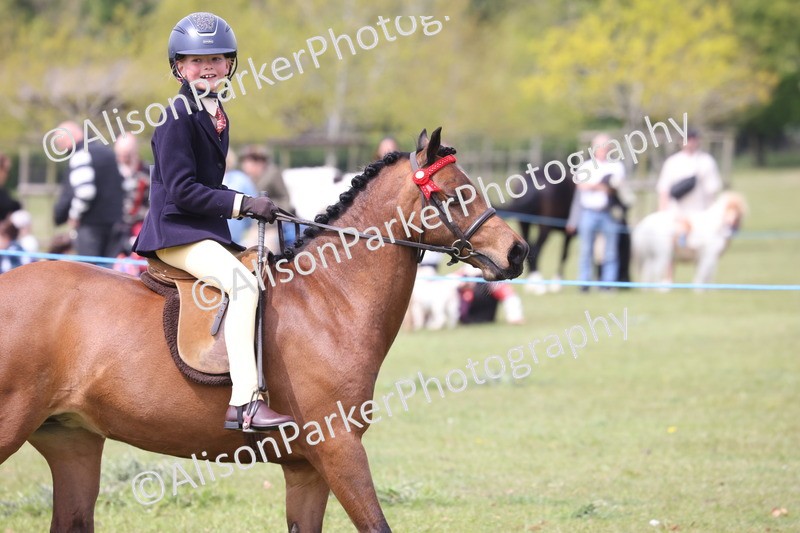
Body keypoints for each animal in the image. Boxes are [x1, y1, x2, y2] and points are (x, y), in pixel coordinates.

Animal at [0, 128, 527, 532]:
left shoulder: (305, 469)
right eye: (455, 194)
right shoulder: (339, 449)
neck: (330, 301)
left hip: (72, 441)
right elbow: (377, 525)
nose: (517, 252)